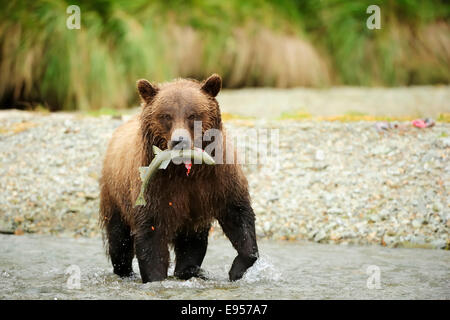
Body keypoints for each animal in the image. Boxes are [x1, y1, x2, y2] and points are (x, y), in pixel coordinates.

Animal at [100, 74, 258, 282]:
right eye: (166, 115)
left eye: (192, 115)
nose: (179, 141)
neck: (184, 169)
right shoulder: (156, 185)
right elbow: (151, 233)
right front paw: (155, 276)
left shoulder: (219, 179)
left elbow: (238, 214)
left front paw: (236, 270)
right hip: (115, 194)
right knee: (119, 239)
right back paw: (125, 271)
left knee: (192, 242)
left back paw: (189, 271)